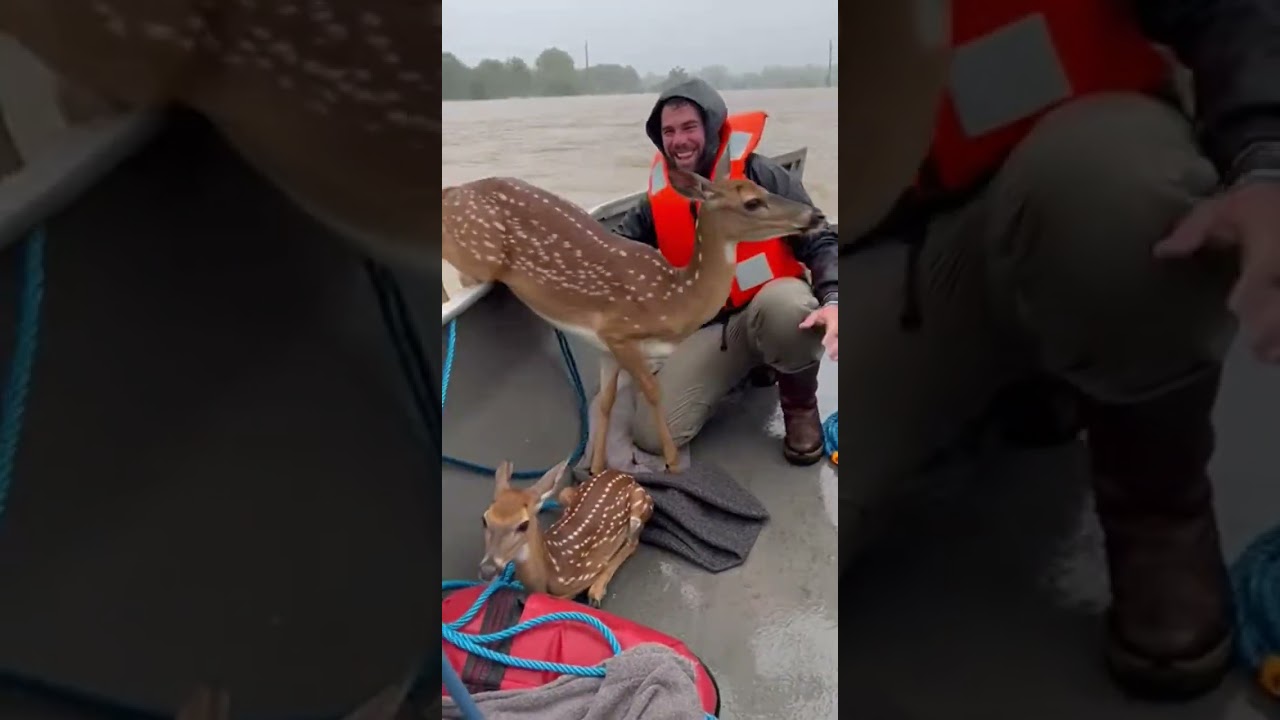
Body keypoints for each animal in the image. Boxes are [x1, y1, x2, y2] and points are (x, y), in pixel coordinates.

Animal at [442, 163, 824, 474]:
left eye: (761, 187)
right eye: (752, 202)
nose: (816, 214)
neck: (674, 297)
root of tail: (455, 191)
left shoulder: (606, 348)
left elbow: (606, 402)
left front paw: (597, 468)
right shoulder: (621, 332)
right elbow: (653, 392)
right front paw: (672, 464)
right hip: (478, 254)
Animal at [479, 459, 654, 608]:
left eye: (524, 525)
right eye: (484, 519)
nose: (487, 570)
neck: (553, 568)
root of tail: (626, 475)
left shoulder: (590, 569)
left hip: (640, 505)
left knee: (633, 542)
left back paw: (596, 592)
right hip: (565, 493)